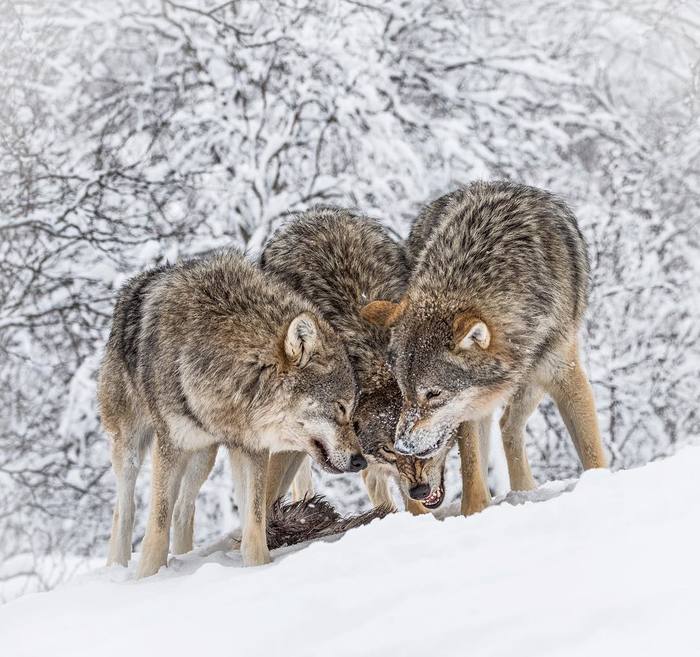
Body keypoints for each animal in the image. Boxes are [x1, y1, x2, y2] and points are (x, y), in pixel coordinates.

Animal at [98, 250, 366, 576]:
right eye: (341, 407)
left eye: (351, 408)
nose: (360, 460)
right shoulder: (171, 445)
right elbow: (157, 529)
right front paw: (148, 577)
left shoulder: (251, 448)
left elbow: (254, 524)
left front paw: (258, 569)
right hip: (131, 448)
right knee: (125, 509)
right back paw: (118, 565)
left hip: (203, 456)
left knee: (183, 510)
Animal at [360, 181, 608, 512]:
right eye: (403, 392)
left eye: (433, 394)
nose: (403, 445)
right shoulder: (468, 406)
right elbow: (473, 471)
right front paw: (475, 512)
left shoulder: (565, 374)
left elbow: (593, 451)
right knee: (502, 426)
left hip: (532, 383)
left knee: (509, 425)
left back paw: (524, 491)